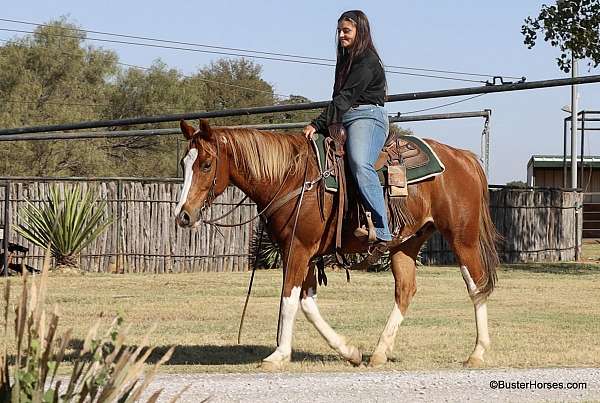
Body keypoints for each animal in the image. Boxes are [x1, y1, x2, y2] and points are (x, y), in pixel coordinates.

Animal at [176, 118, 500, 370]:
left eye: (206, 164)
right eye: (184, 163)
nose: (183, 215)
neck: (293, 178)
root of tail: (464, 157)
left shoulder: (298, 249)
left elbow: (289, 299)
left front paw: (279, 354)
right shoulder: (303, 253)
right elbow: (307, 303)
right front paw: (350, 351)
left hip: (463, 239)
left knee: (476, 285)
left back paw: (477, 352)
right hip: (406, 243)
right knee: (406, 291)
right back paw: (379, 353)